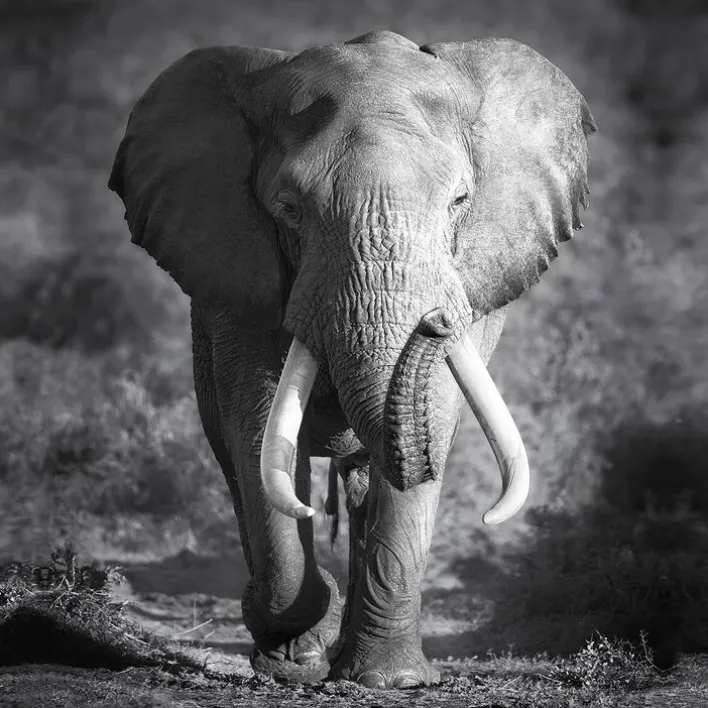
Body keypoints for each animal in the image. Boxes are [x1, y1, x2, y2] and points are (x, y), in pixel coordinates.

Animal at [109, 30, 595, 688]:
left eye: (459, 201)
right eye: (290, 209)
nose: (436, 321)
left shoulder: (477, 277)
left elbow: (434, 417)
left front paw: (391, 681)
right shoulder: (235, 280)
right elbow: (257, 427)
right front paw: (294, 658)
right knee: (237, 460)